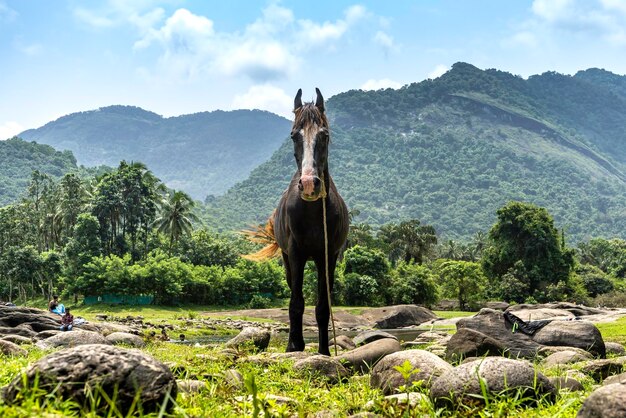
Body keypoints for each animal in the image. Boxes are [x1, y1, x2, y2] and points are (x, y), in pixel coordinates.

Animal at [244, 88, 348, 356]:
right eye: (293, 136)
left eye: (324, 135)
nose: (310, 184)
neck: (311, 212)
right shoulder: (295, 253)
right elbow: (296, 302)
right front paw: (293, 346)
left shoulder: (327, 256)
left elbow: (323, 306)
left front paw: (324, 351)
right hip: (288, 259)